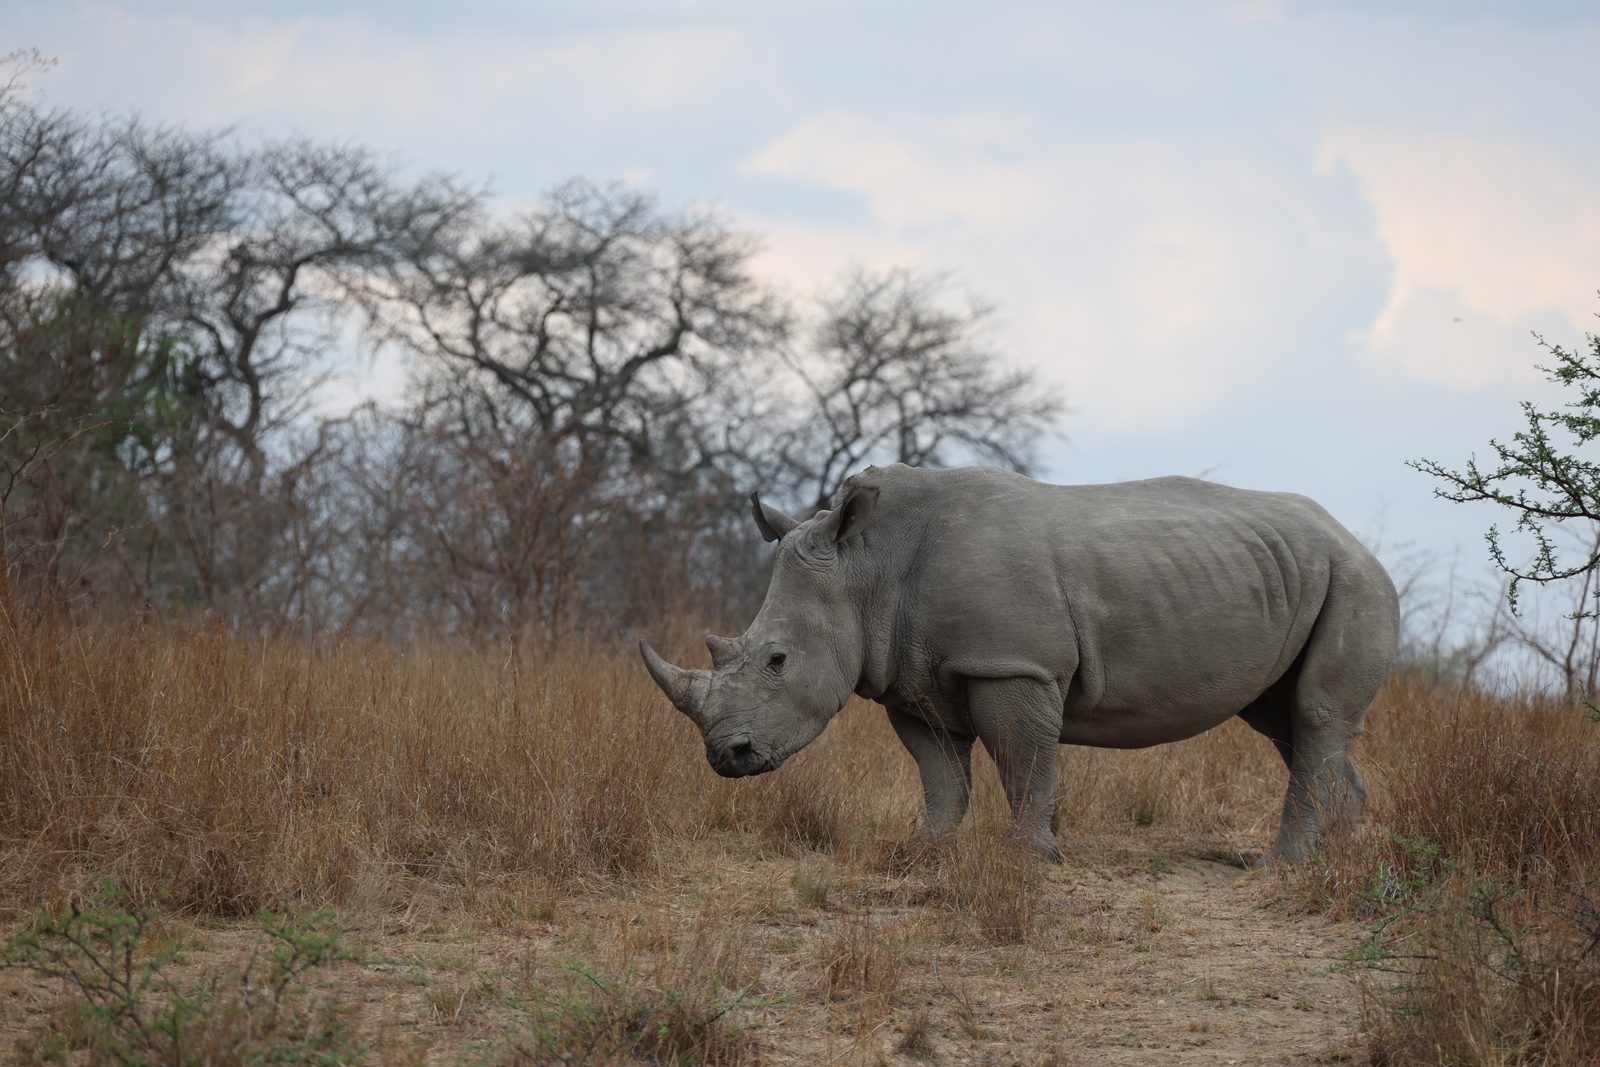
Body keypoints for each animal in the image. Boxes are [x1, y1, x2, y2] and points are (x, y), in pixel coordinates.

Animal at [640, 464, 1399, 864]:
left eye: (777, 659)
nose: (727, 757)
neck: (867, 568)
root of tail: (1353, 537)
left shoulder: (1012, 664)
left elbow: (1024, 763)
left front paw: (1032, 858)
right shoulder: (911, 679)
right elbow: (941, 775)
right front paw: (918, 851)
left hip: (1354, 579)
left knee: (1313, 716)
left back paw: (1277, 865)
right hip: (1298, 575)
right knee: (1284, 719)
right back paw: (1335, 852)